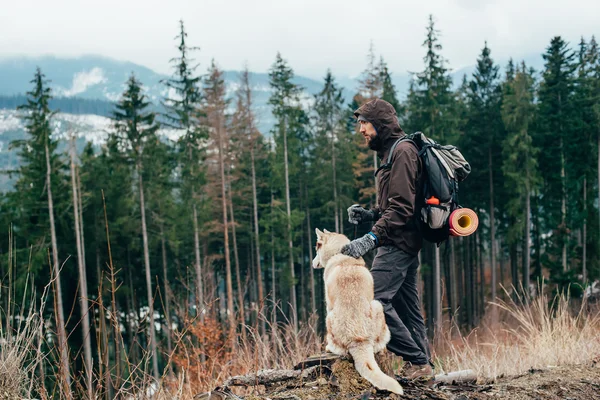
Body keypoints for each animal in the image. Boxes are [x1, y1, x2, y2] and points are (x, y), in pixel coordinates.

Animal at [312, 230, 406, 396]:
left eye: (316, 250)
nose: (311, 262)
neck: (339, 253)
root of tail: (360, 340)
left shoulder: (328, 304)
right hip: (377, 305)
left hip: (330, 317)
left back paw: (329, 348)